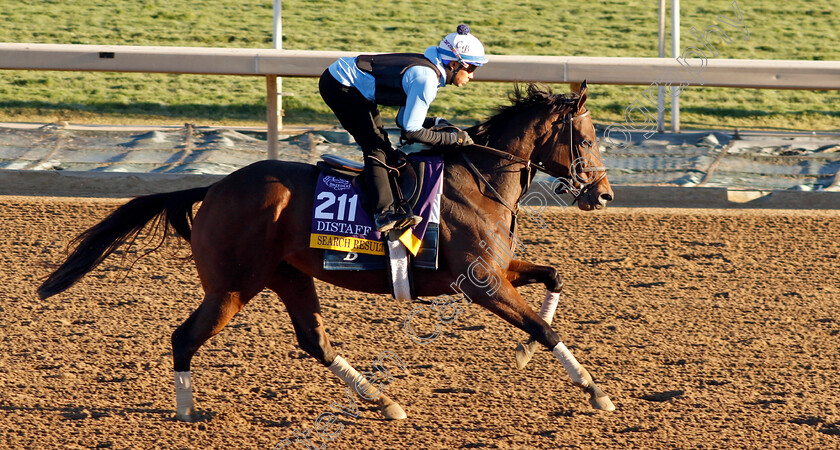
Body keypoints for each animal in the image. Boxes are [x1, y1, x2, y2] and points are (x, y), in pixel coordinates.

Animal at [37, 81, 616, 422]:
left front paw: (524, 354)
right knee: (184, 336)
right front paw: (595, 391)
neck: (480, 181)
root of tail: (215, 187)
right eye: (587, 141)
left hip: (287, 275)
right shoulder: (481, 283)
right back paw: (187, 412)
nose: (604, 194)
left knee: (313, 341)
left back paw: (385, 402)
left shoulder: (494, 272)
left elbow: (554, 277)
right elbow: (545, 326)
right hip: (232, 286)